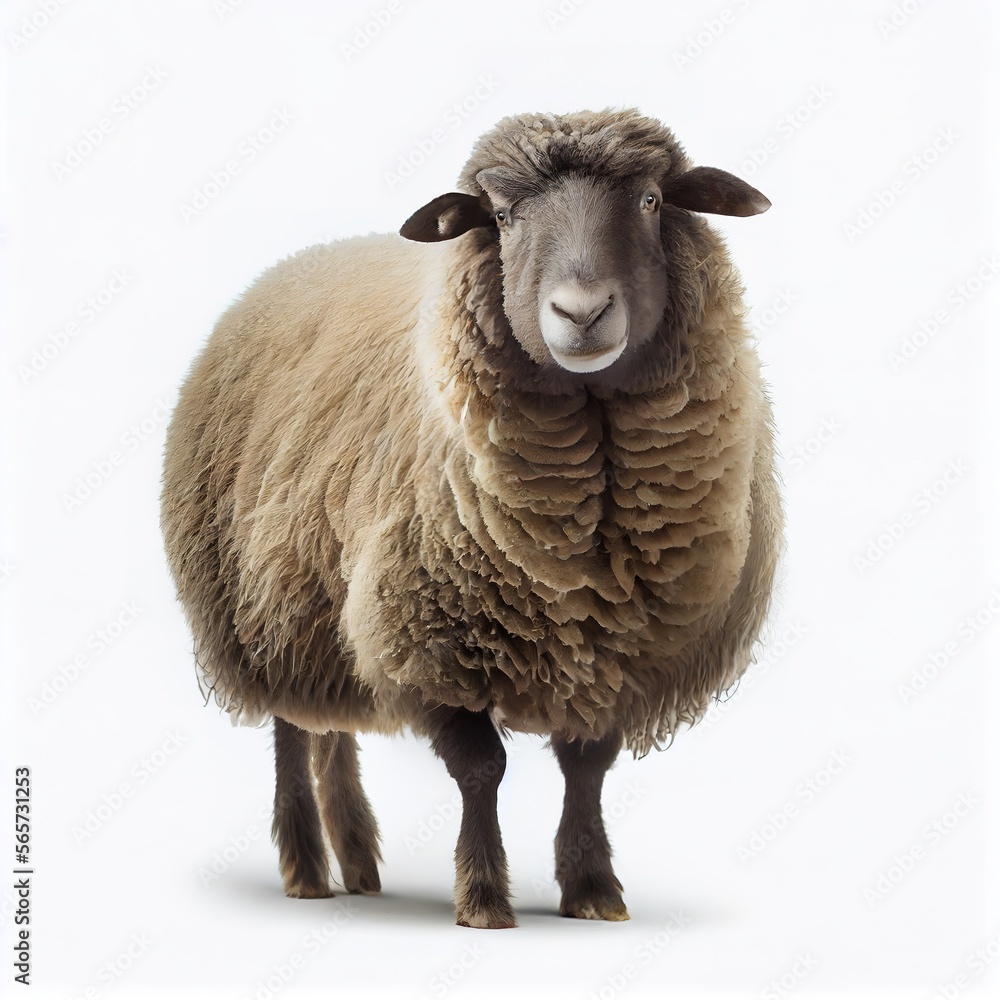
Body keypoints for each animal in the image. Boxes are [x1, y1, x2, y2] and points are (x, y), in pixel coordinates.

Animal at [161, 108, 783, 929]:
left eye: (652, 201)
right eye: (503, 216)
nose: (581, 313)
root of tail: (299, 260)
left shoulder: (622, 649)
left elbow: (588, 766)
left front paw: (593, 889)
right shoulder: (432, 639)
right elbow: (483, 769)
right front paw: (484, 895)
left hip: (329, 605)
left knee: (334, 735)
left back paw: (359, 863)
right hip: (269, 612)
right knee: (294, 736)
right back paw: (307, 870)